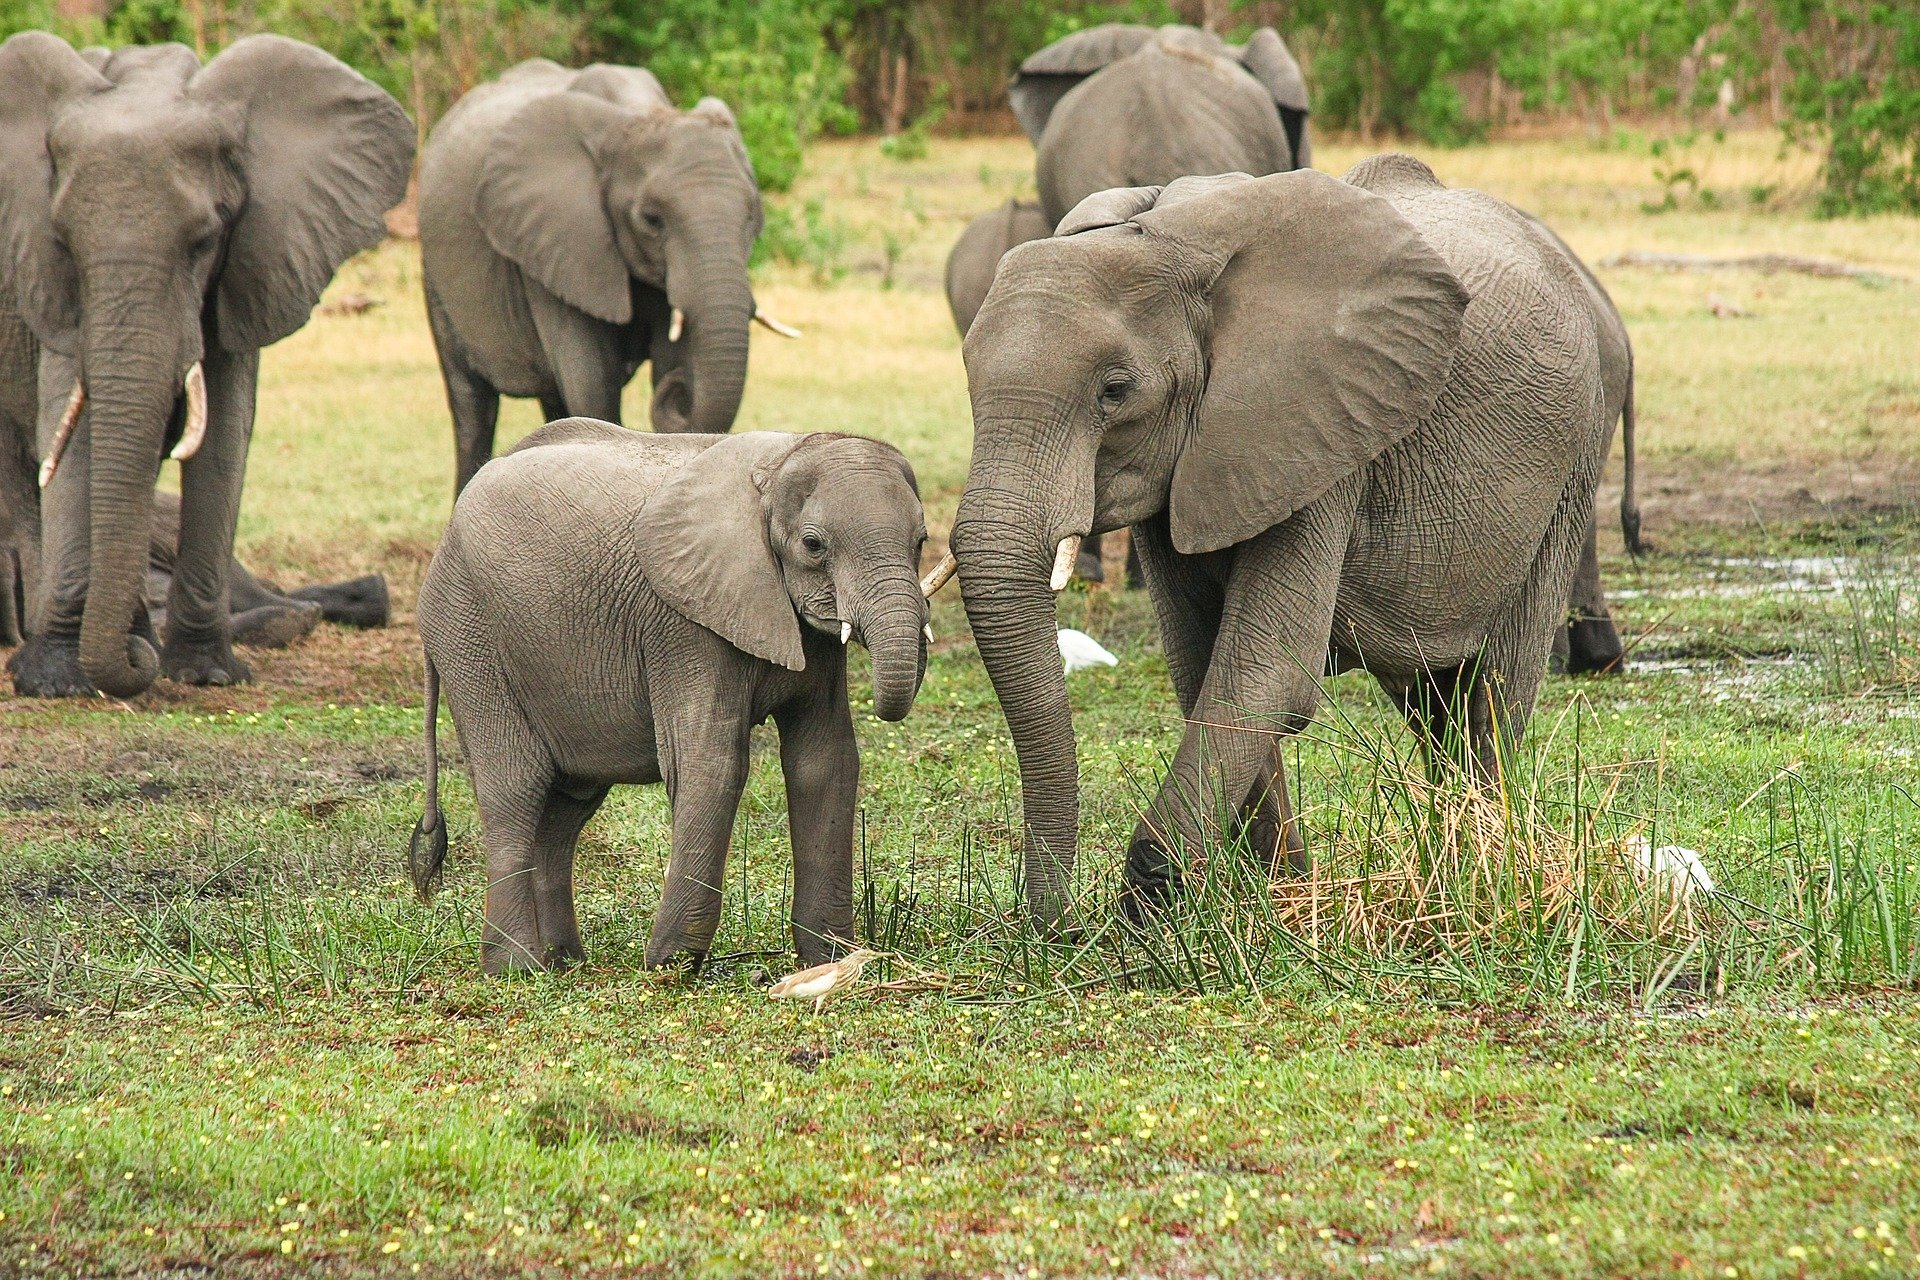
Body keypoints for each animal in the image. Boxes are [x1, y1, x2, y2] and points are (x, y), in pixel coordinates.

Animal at [408, 419, 932, 975]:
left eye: (921, 541)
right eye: (814, 545)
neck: (782, 459)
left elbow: (825, 761)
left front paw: (829, 961)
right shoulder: (684, 623)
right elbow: (712, 762)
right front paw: (671, 966)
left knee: (566, 807)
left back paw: (564, 963)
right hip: (469, 635)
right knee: (515, 787)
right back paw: (516, 969)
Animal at [420, 60, 800, 497]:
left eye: (752, 216)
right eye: (652, 220)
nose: (680, 390)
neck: (637, 115)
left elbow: (664, 359)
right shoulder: (558, 243)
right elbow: (591, 383)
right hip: (436, 277)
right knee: (472, 407)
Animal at [931, 156, 1618, 924]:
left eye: (1114, 390)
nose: (1056, 926)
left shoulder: (1320, 429)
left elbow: (1264, 674)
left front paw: (1150, 910)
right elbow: (1202, 668)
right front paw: (1278, 897)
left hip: (1573, 462)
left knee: (1492, 692)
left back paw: (1481, 871)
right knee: (1431, 703)